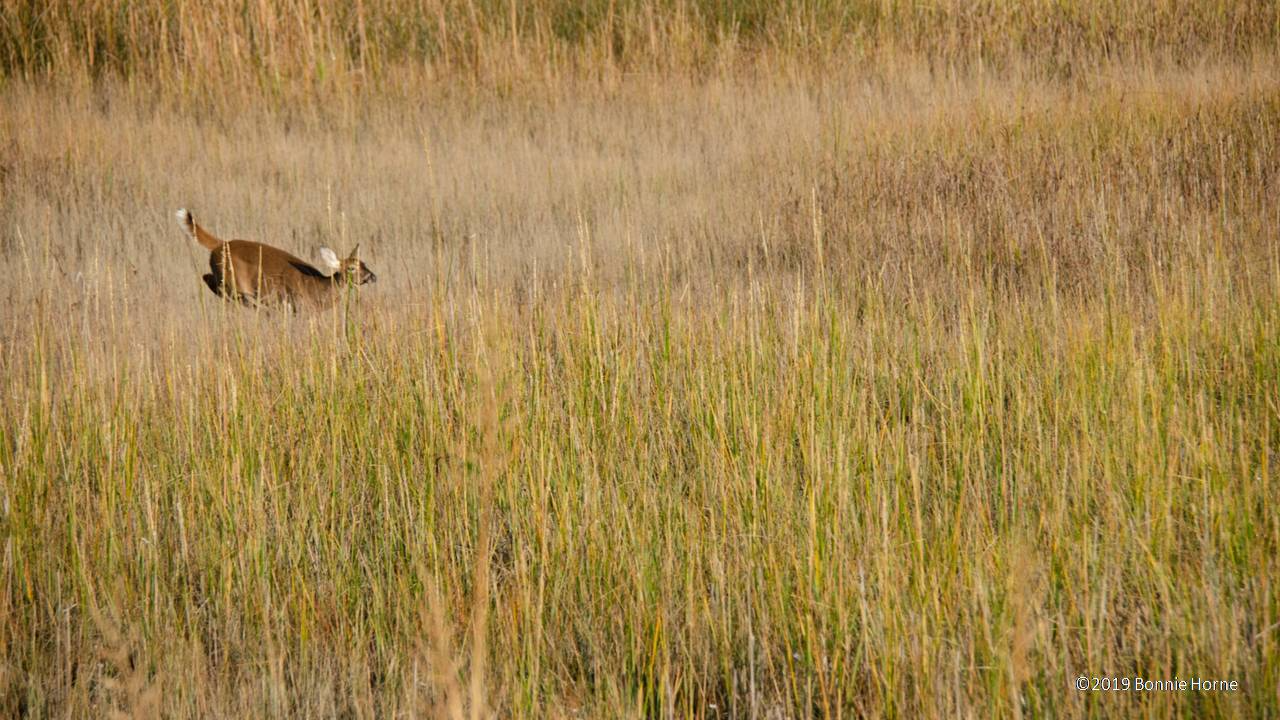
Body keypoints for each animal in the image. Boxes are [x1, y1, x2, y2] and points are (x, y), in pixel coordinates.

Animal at [175, 208, 376, 310]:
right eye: (351, 268)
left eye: (364, 263)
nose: (373, 276)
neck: (319, 287)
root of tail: (220, 244)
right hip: (232, 278)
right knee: (215, 284)